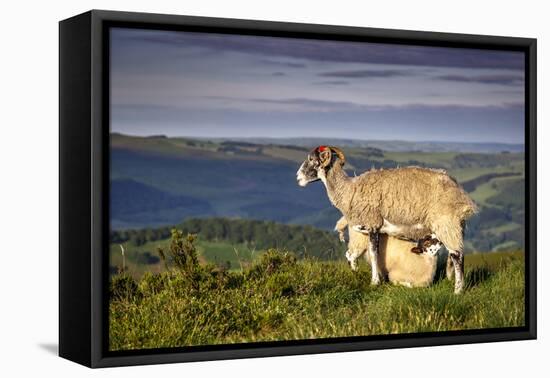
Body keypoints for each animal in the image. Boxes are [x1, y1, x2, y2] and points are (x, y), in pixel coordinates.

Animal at [298, 146, 478, 294]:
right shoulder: (367, 228)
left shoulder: (372, 224)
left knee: (457, 255)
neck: (349, 190)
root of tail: (462, 197)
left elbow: (374, 253)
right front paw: (362, 276)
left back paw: (458, 291)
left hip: (446, 224)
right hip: (454, 227)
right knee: (454, 256)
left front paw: (375, 282)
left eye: (312, 159)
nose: (298, 177)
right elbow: (362, 255)